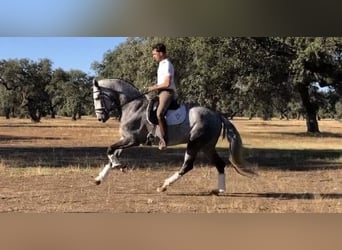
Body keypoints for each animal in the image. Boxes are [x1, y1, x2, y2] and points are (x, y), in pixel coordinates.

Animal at [92, 78, 252, 193]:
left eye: (98, 97)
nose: (100, 118)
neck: (133, 107)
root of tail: (217, 115)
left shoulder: (132, 140)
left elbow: (110, 150)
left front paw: (118, 166)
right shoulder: (125, 139)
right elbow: (112, 153)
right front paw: (100, 178)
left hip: (195, 143)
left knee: (187, 166)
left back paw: (164, 185)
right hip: (207, 146)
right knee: (219, 164)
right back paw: (220, 190)